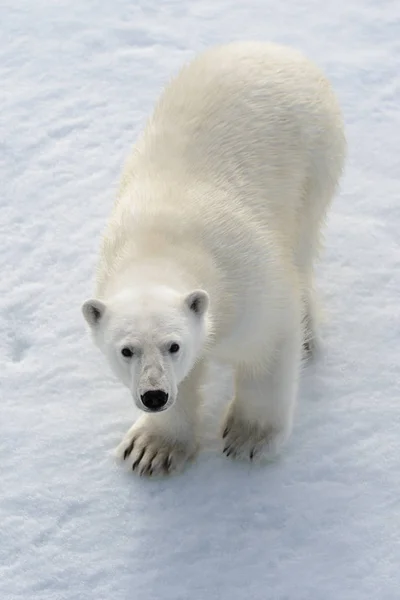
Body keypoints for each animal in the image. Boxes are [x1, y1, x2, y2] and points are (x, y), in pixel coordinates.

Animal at [81, 42, 344, 478]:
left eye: (174, 345)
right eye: (126, 350)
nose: (154, 395)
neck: (160, 246)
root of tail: (274, 47)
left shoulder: (245, 280)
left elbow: (267, 344)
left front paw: (248, 438)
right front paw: (151, 449)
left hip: (315, 161)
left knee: (302, 245)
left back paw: (309, 332)